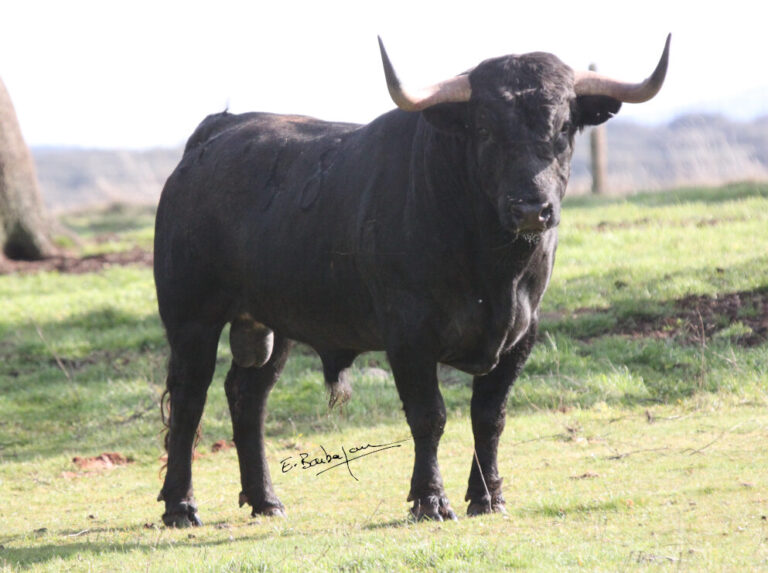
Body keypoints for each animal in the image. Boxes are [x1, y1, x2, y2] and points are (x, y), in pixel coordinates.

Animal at [154, 35, 670, 526]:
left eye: (564, 126)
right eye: (484, 127)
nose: (530, 208)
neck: (493, 270)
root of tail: (213, 135)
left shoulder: (521, 335)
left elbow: (489, 418)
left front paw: (488, 497)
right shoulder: (409, 335)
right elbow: (429, 417)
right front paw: (430, 500)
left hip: (272, 324)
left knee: (248, 396)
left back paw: (265, 501)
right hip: (191, 320)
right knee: (189, 399)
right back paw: (180, 506)